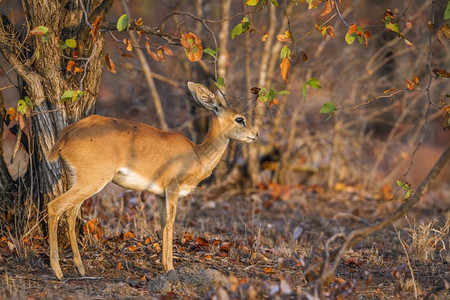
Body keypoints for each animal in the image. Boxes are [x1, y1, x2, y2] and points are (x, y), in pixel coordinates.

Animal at [47, 81, 258, 278]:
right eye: (240, 119)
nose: (255, 134)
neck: (197, 154)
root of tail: (65, 135)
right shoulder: (173, 190)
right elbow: (171, 222)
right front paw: (171, 267)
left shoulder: (159, 194)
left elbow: (163, 222)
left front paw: (165, 266)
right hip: (91, 182)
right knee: (55, 206)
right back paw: (57, 271)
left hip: (81, 182)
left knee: (70, 213)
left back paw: (80, 268)